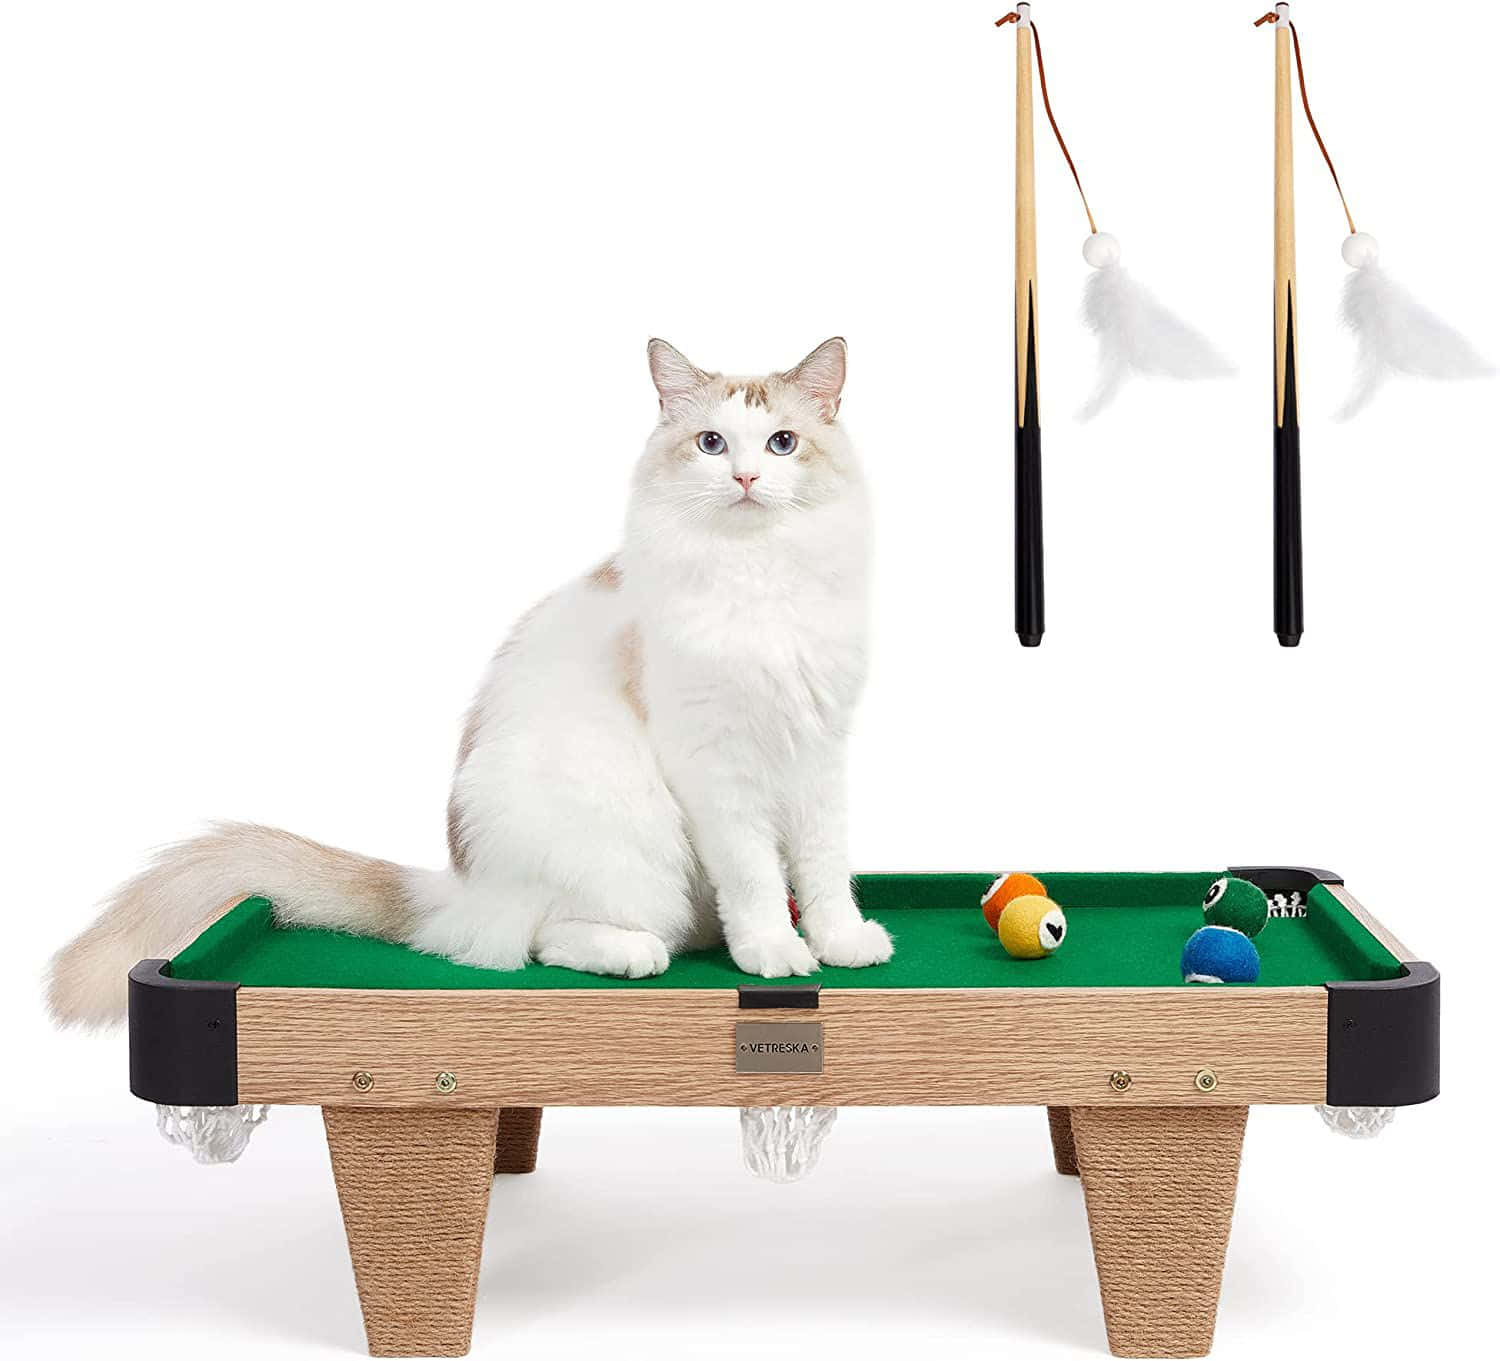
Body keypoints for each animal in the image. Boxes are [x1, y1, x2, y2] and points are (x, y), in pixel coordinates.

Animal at [46, 334, 888, 1026]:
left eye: (782, 443)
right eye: (711, 443)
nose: (745, 476)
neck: (761, 577)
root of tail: (459, 884)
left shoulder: (819, 750)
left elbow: (822, 864)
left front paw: (840, 939)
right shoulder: (719, 769)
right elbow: (754, 875)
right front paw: (774, 949)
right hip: (631, 847)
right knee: (538, 939)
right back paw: (629, 953)